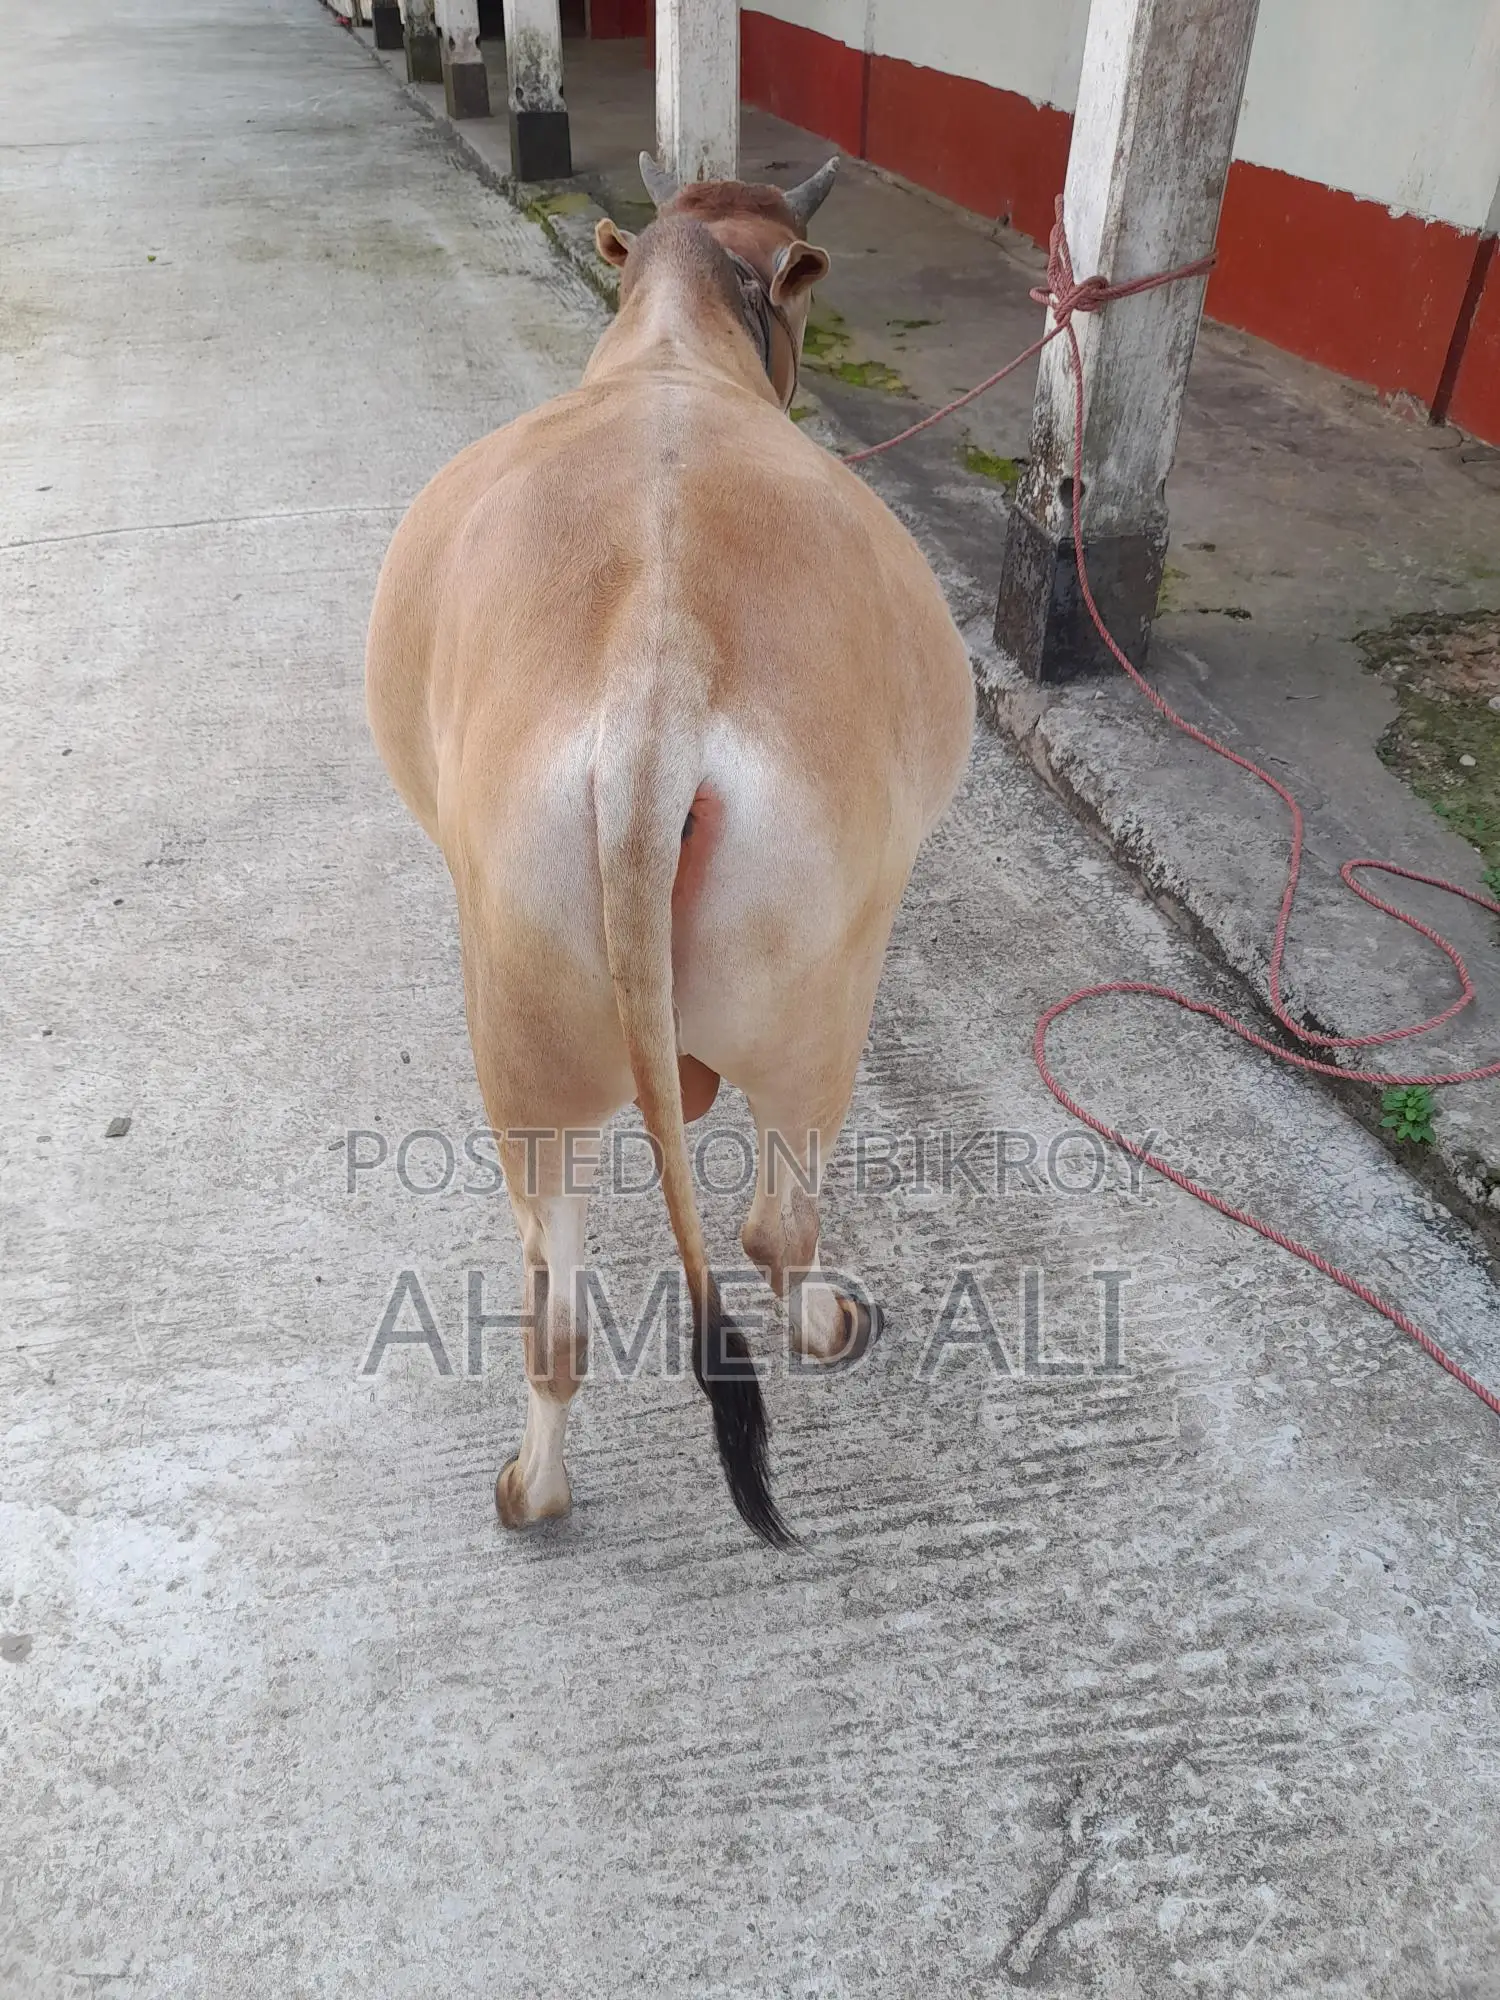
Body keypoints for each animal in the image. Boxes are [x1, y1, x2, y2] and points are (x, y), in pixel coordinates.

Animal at [365, 153, 975, 1546]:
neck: (671, 344)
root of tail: (660, 670)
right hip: (821, 1012)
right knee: (773, 1228)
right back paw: (827, 1320)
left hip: (527, 1047)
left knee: (553, 1315)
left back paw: (531, 1490)